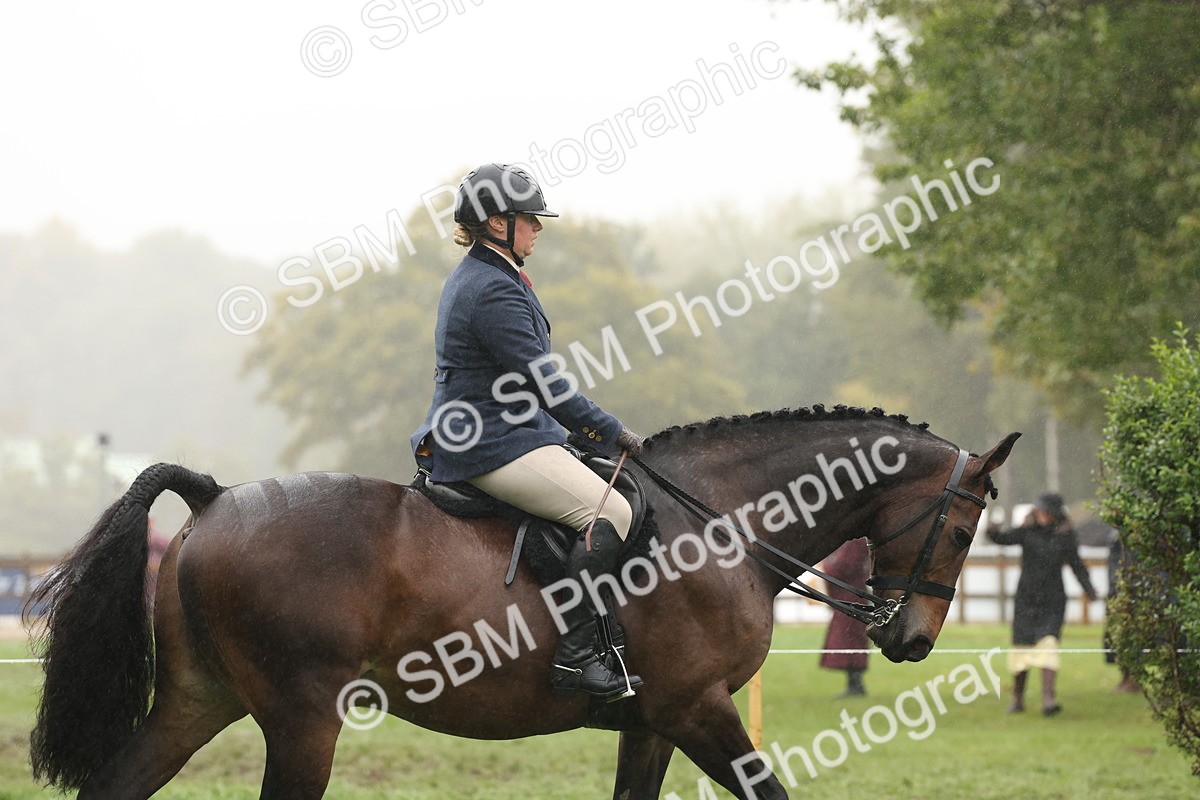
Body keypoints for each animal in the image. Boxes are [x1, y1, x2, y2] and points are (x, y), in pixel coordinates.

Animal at [28, 405, 1019, 799]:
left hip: (199, 701)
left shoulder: (654, 721)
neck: (720, 523)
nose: (914, 640)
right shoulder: (699, 709)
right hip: (304, 720)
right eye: (966, 528)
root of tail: (212, 501)